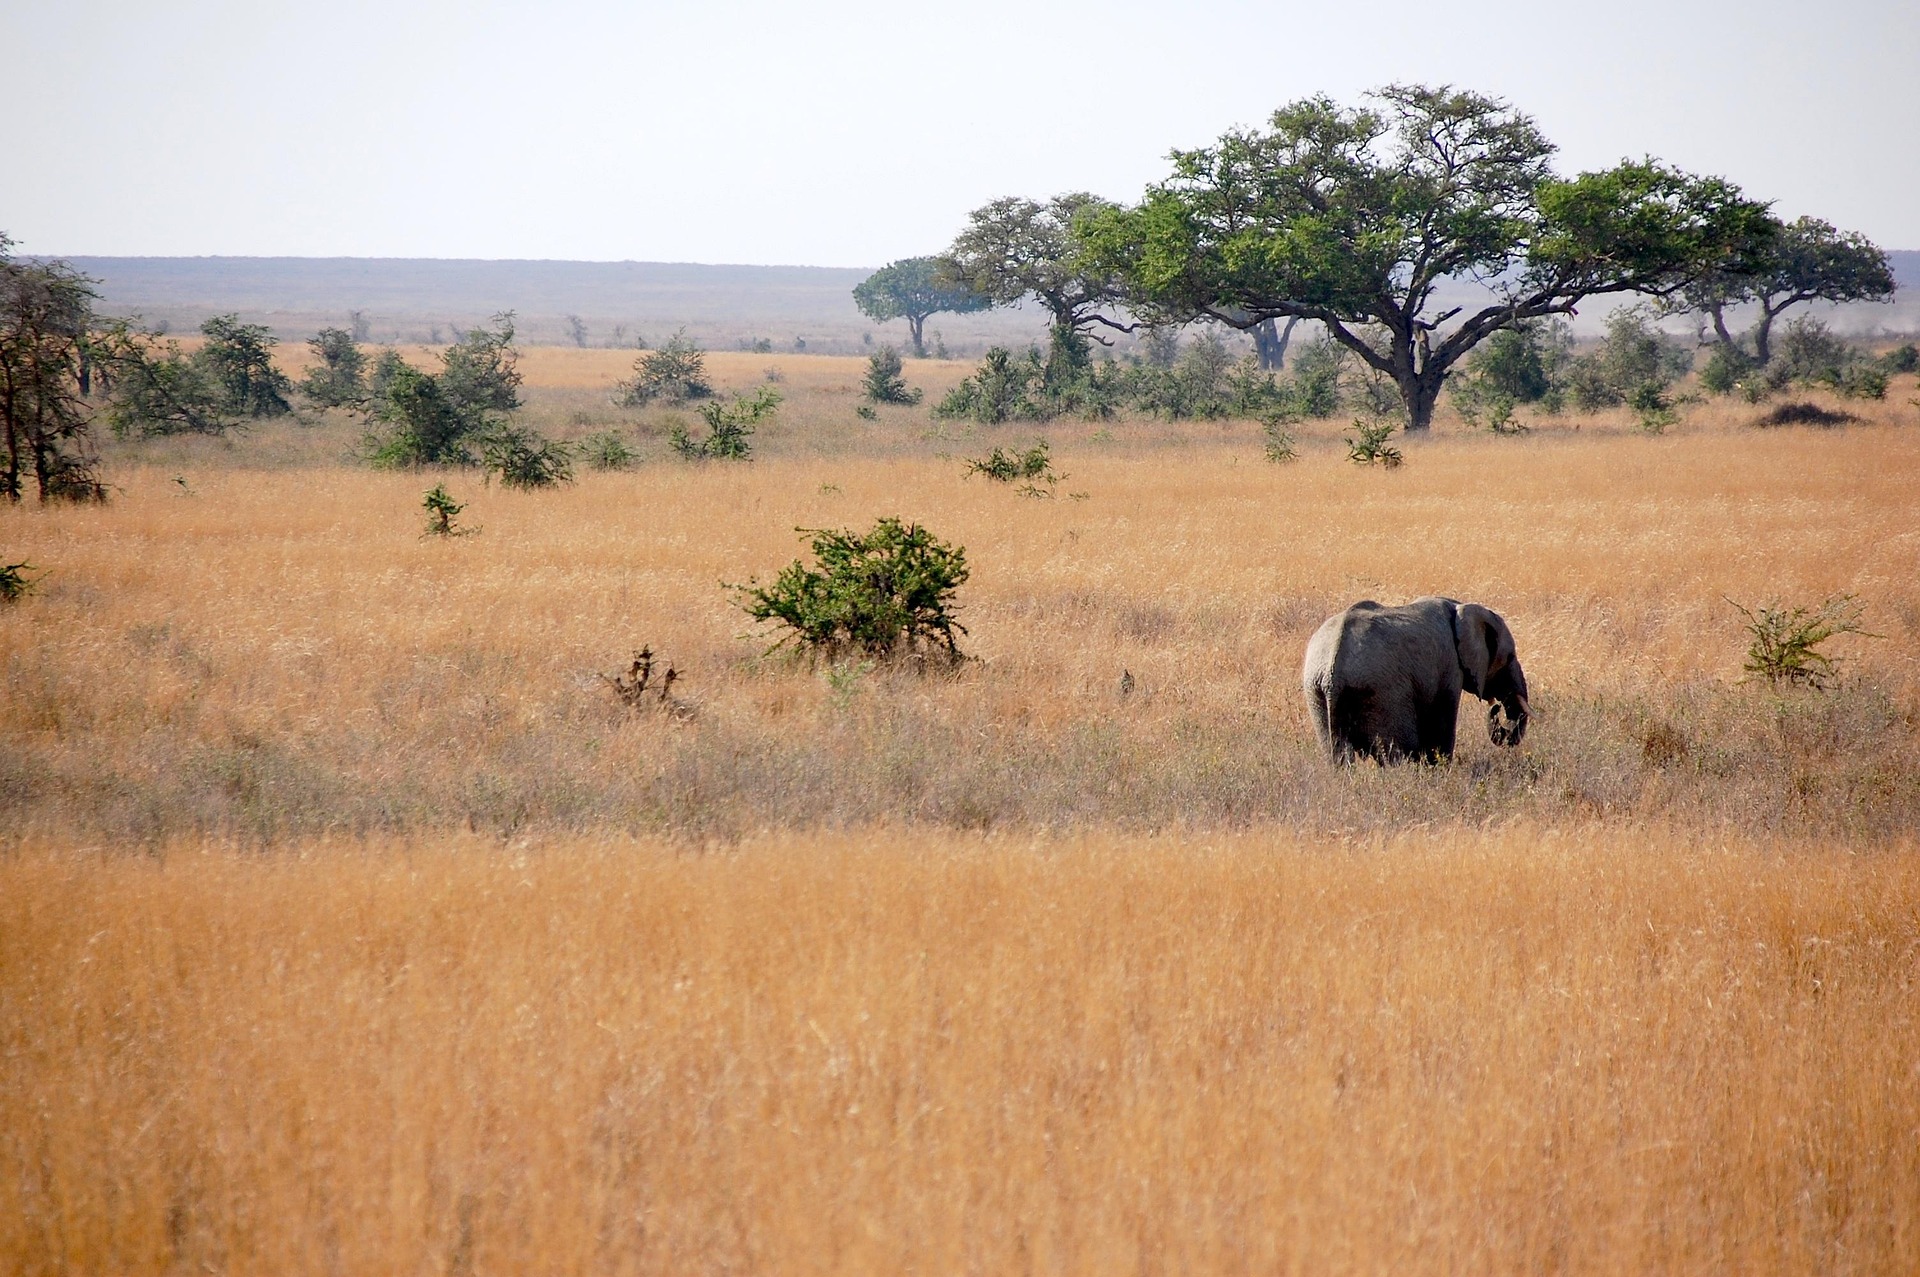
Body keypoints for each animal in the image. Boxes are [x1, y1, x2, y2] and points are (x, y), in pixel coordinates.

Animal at [1301, 597, 1529, 763]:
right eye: (1510, 657)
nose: (1496, 707)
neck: (1460, 607)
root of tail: (1334, 670)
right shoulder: (1450, 666)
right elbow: (1442, 723)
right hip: (1384, 694)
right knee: (1393, 755)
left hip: (1316, 693)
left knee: (1337, 754)